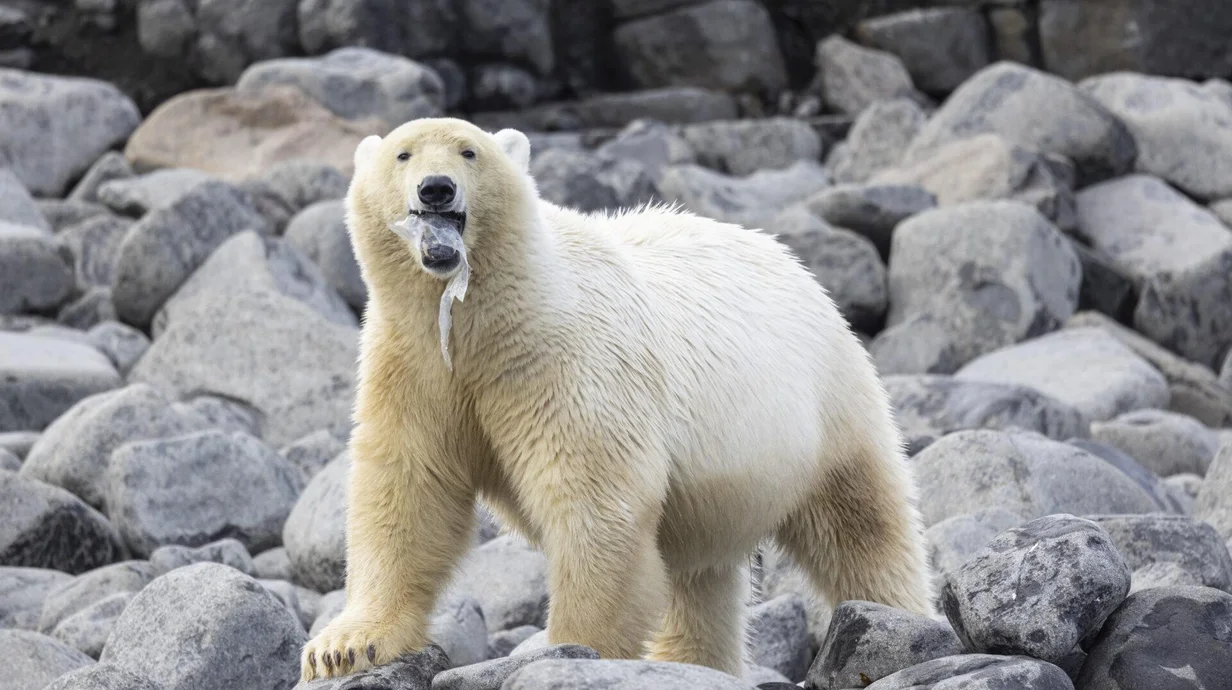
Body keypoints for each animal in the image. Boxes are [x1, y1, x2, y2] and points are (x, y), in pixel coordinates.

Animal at [299, 117, 934, 682]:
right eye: (403, 155)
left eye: (469, 151)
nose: (436, 188)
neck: (485, 318)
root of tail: (791, 261)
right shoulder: (415, 364)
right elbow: (408, 488)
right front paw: (343, 647)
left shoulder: (565, 361)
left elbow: (595, 500)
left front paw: (573, 648)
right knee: (699, 572)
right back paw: (688, 661)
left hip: (824, 401)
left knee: (861, 524)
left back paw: (900, 619)